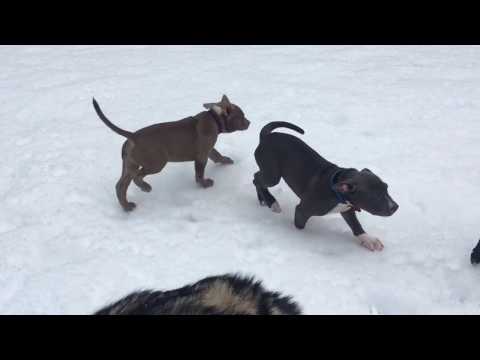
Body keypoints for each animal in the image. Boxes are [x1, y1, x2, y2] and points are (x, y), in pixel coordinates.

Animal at [94, 95, 251, 211]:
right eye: (241, 116)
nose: (249, 122)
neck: (214, 119)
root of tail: (133, 136)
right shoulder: (202, 155)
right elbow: (199, 173)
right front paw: (204, 184)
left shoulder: (209, 150)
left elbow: (217, 156)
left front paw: (226, 160)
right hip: (156, 163)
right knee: (137, 177)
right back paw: (145, 187)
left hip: (129, 165)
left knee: (121, 185)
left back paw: (126, 206)